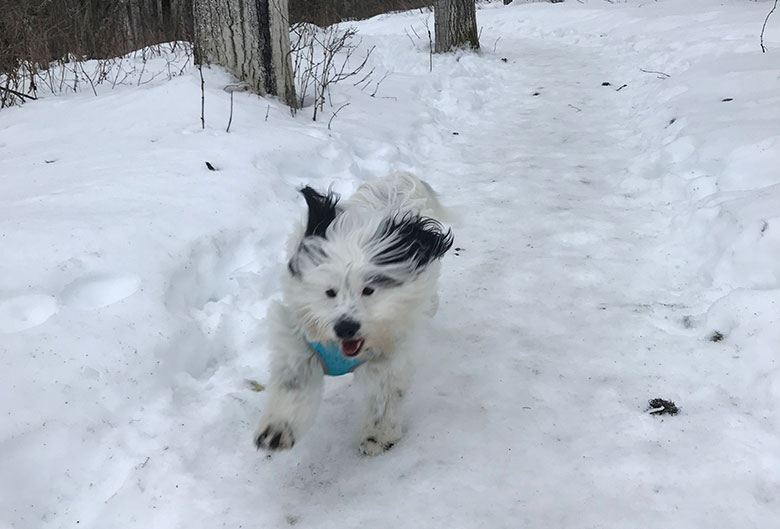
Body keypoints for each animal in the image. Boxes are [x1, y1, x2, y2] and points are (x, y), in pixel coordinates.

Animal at [253, 172, 454, 454]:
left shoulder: (392, 351)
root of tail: (396, 178)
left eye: (369, 290)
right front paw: (277, 429)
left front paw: (378, 434)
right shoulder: (298, 339)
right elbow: (294, 383)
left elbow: (385, 392)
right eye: (330, 292)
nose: (345, 327)